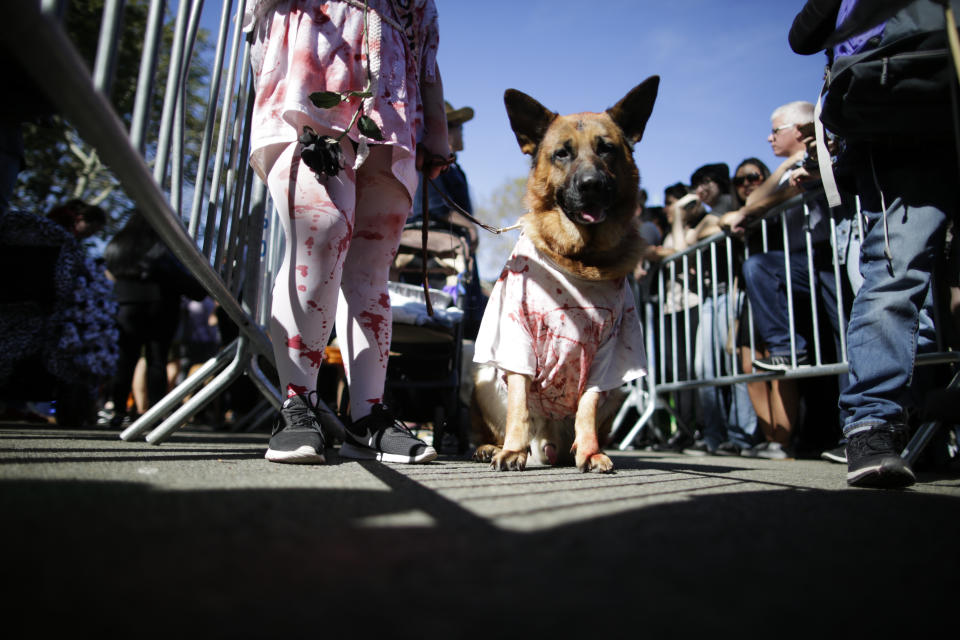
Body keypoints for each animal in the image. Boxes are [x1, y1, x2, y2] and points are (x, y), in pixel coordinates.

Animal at [466, 77, 660, 472]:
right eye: (562, 154)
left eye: (606, 149)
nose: (591, 184)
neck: (578, 258)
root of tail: (547, 443)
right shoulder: (518, 342)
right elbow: (519, 404)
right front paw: (511, 450)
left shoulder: (606, 354)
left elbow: (586, 405)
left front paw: (590, 452)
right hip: (482, 378)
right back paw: (494, 447)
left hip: (618, 389)